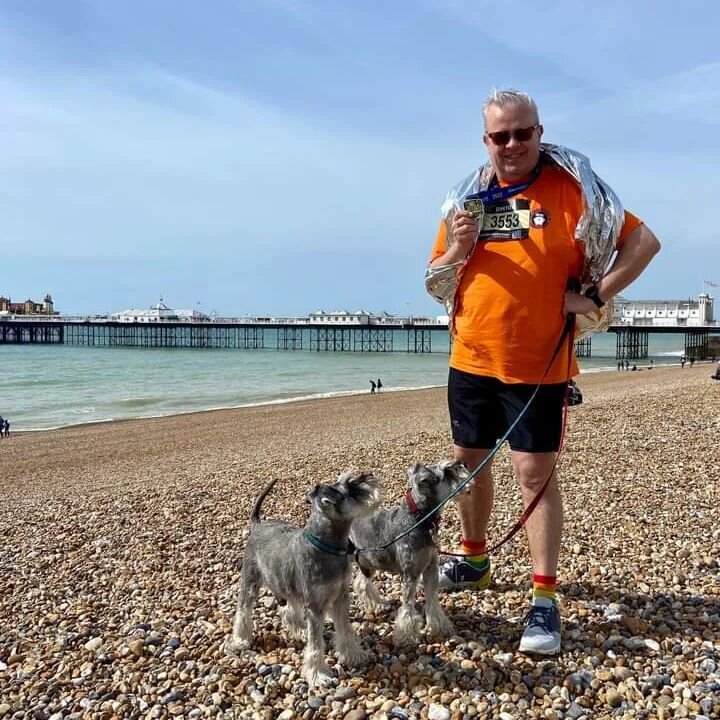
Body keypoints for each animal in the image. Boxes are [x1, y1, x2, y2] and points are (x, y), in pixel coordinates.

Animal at [229, 472, 382, 688]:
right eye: (350, 489)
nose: (369, 476)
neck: (327, 546)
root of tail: (257, 525)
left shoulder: (341, 597)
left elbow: (345, 629)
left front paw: (354, 655)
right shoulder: (315, 606)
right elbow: (316, 644)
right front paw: (318, 674)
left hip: (286, 583)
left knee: (287, 610)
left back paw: (300, 631)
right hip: (250, 582)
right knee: (243, 611)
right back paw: (240, 640)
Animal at [348, 462, 466, 648]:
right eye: (447, 472)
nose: (463, 464)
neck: (419, 519)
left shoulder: (430, 569)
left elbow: (432, 602)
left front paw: (441, 627)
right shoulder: (410, 574)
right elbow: (408, 608)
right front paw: (406, 637)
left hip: (368, 563)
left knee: (361, 583)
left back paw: (379, 605)